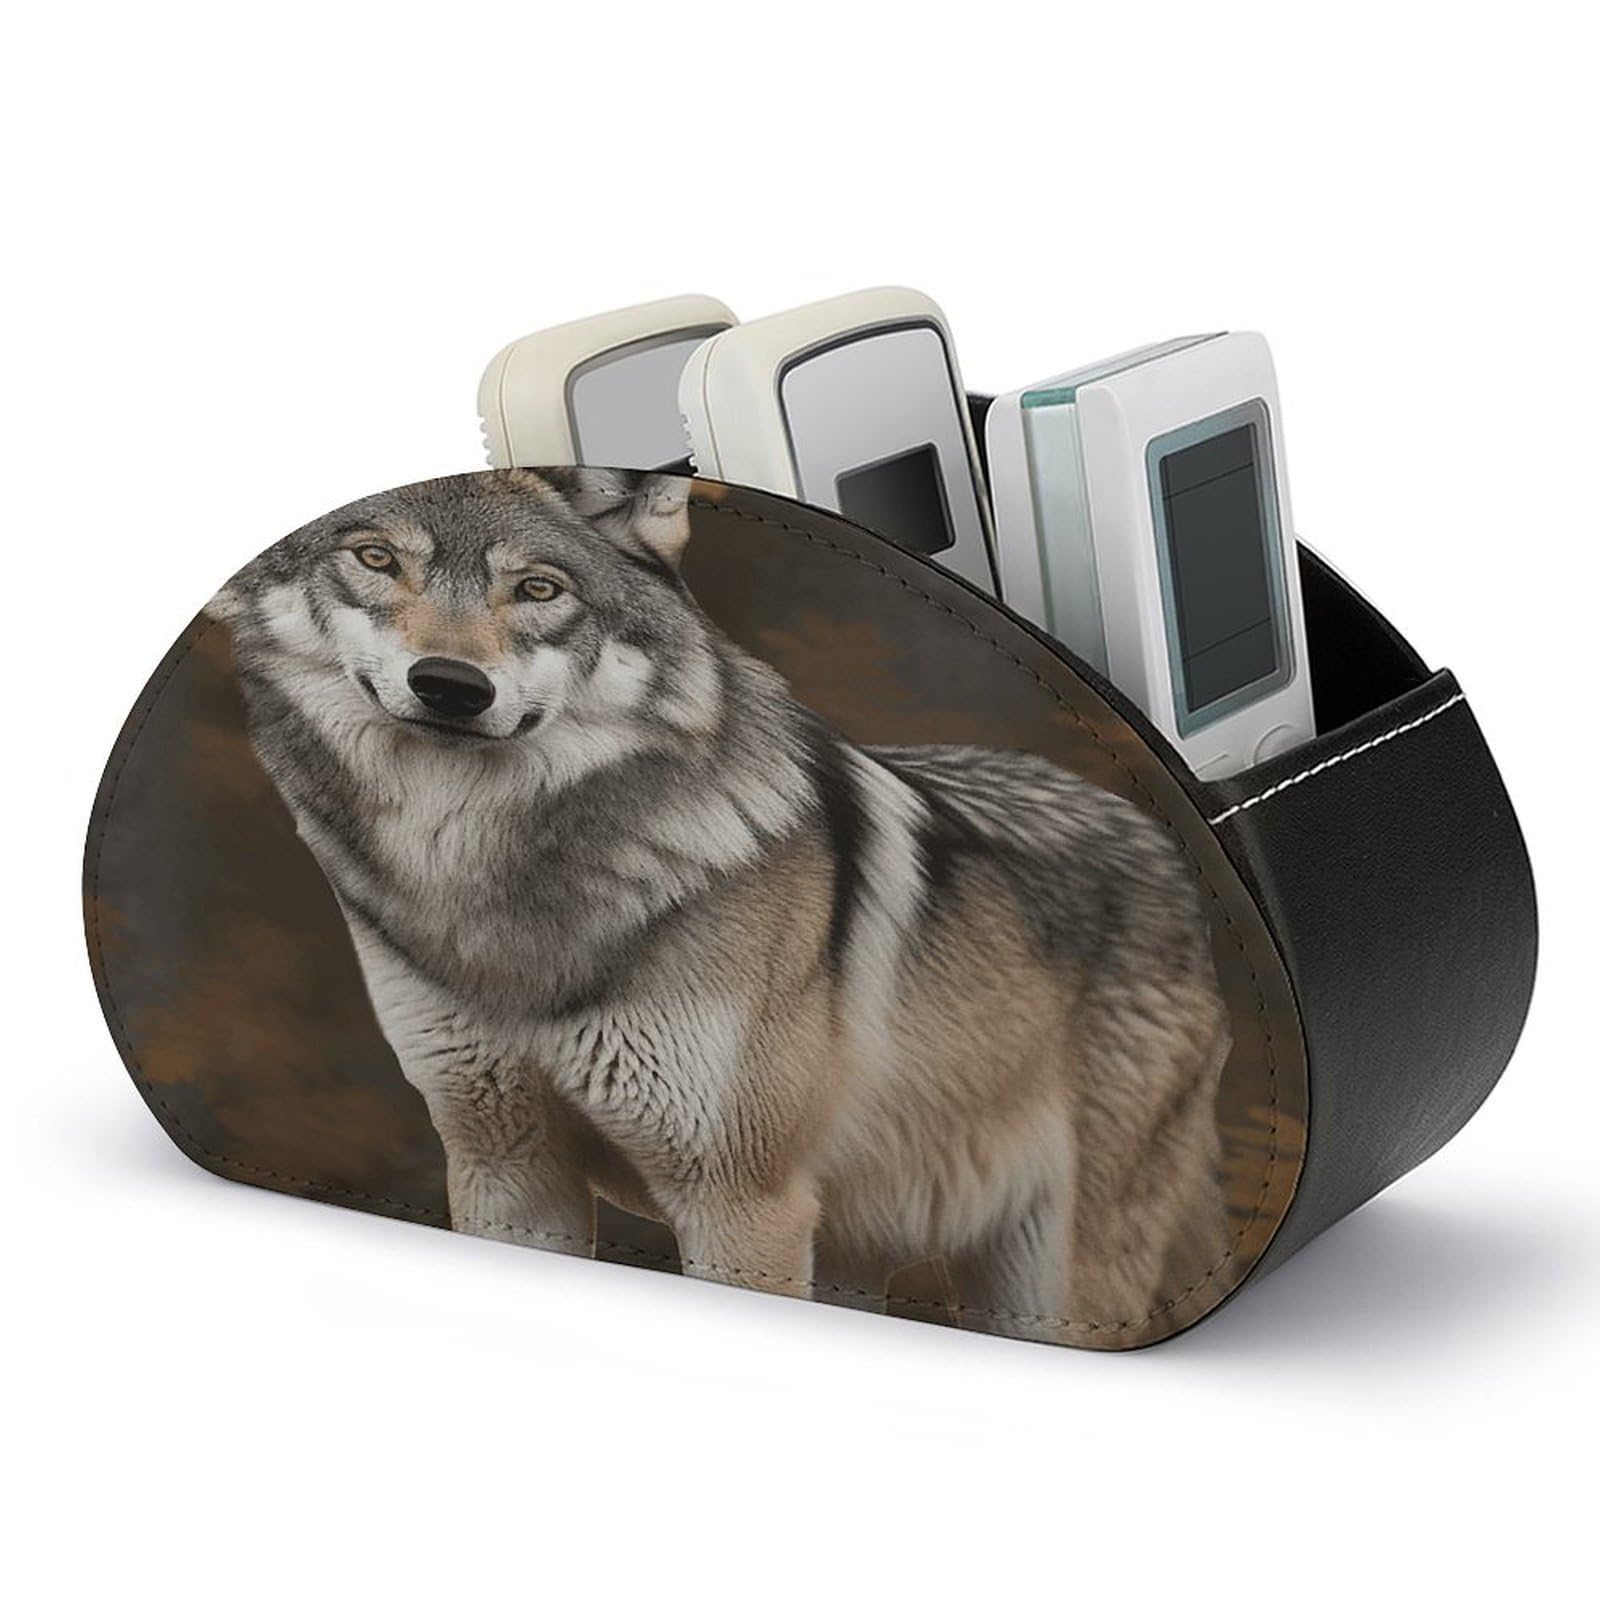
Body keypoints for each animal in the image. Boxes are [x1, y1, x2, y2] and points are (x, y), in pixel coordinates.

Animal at [210, 468, 1231, 1341]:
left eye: (539, 589)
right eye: (376, 558)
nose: (450, 687)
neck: (494, 893)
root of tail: (1168, 850)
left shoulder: (741, 1204)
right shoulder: (505, 1166)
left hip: (1048, 1283)